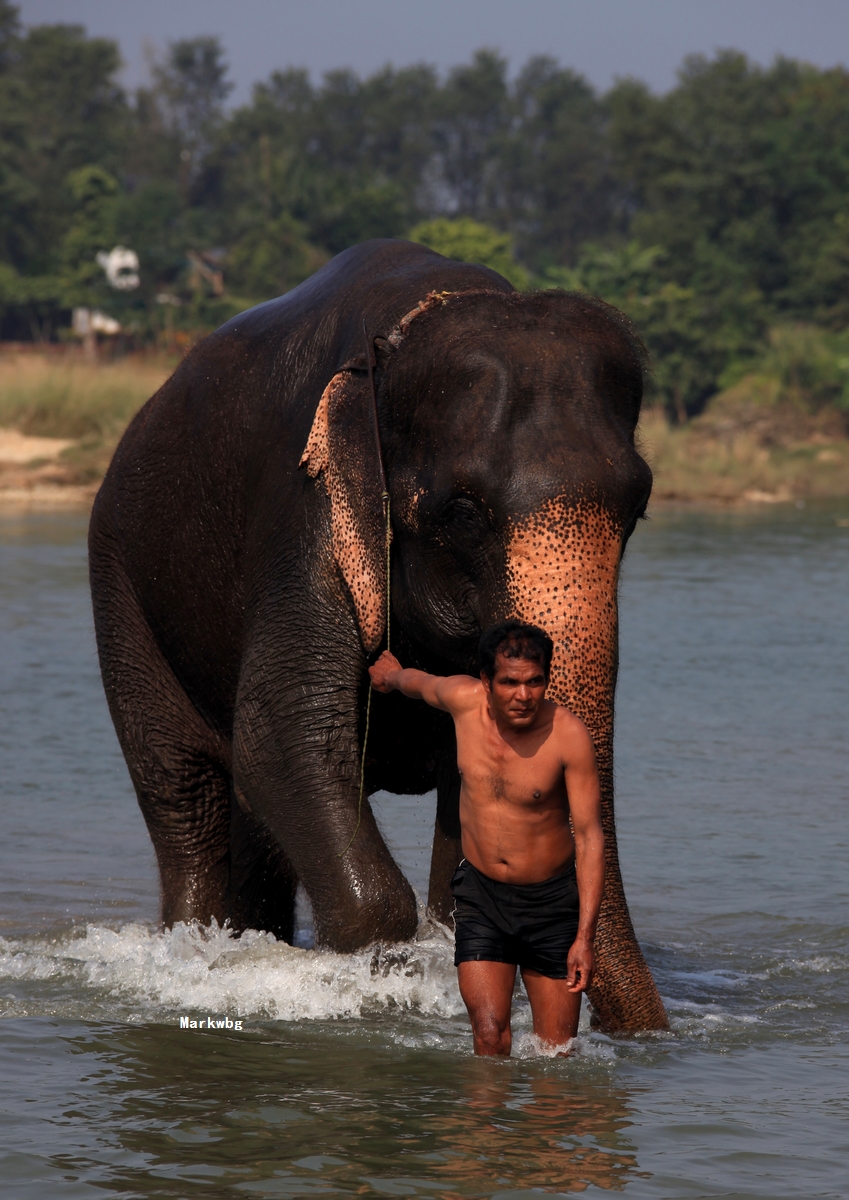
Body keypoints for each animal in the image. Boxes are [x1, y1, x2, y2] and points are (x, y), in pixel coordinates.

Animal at [88, 236, 671, 1032]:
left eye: (639, 507)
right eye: (463, 511)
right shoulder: (304, 509)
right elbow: (285, 732)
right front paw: (375, 980)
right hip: (122, 589)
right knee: (184, 796)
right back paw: (196, 949)